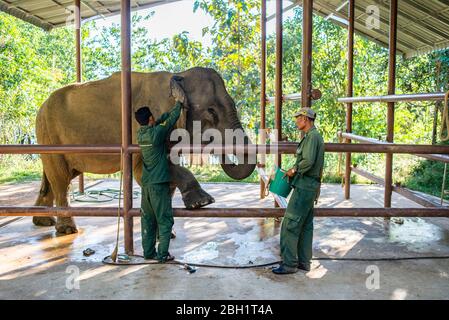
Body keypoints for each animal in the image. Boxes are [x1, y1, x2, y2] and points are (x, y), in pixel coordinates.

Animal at [31, 66, 256, 234]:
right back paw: (66, 230)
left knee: (55, 176)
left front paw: (167, 233)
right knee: (61, 178)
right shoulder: (138, 132)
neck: (177, 75)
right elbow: (144, 173)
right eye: (211, 111)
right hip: (49, 134)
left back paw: (43, 222)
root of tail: (42, 105)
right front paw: (203, 202)